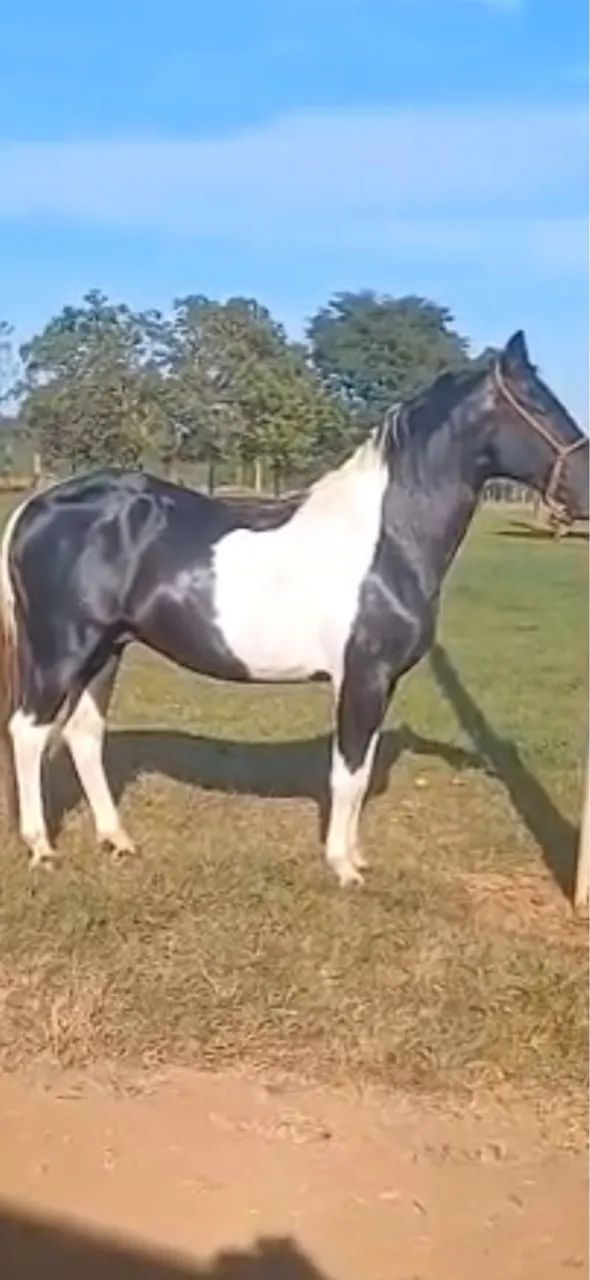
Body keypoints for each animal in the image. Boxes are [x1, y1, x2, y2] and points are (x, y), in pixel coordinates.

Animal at [0, 330, 587, 884]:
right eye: (535, 404)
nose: (583, 493)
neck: (384, 539)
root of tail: (37, 505)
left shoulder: (381, 683)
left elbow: (360, 770)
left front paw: (355, 855)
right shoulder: (363, 677)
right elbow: (346, 775)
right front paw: (343, 867)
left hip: (106, 649)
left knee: (82, 734)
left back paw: (116, 840)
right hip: (61, 651)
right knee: (28, 732)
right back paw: (41, 848)